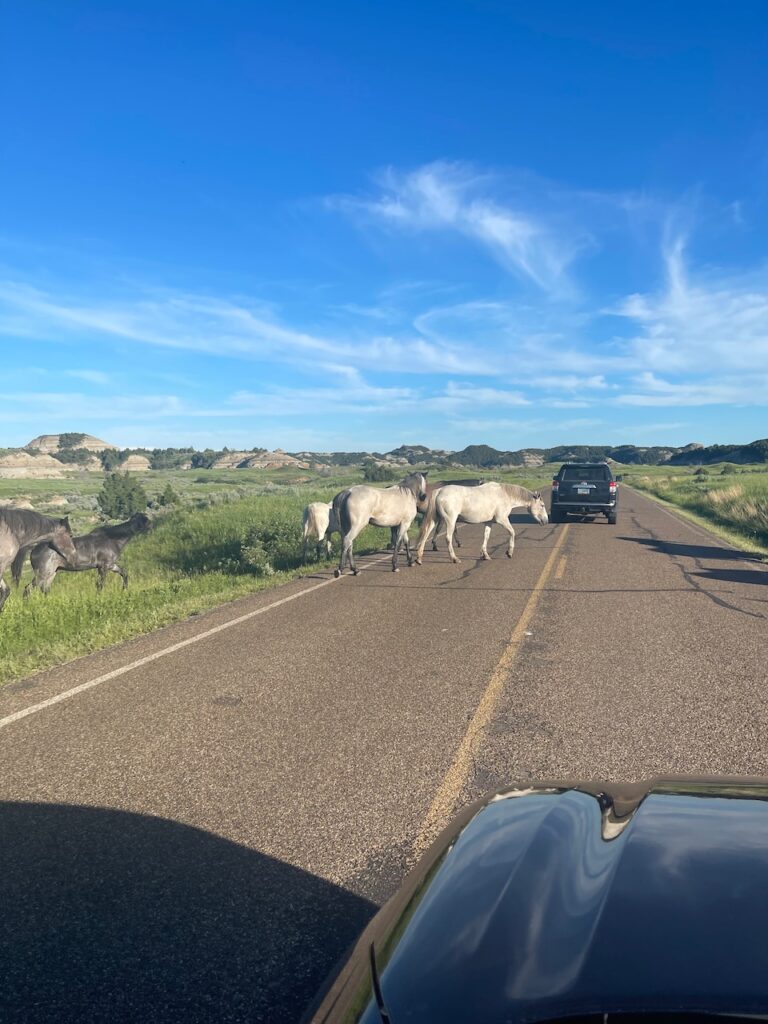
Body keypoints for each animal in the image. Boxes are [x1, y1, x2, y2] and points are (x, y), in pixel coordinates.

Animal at [13, 509, 151, 598]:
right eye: (146, 520)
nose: (151, 526)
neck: (112, 539)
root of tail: (35, 547)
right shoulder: (103, 566)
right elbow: (100, 584)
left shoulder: (111, 565)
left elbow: (124, 573)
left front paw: (125, 590)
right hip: (43, 573)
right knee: (28, 589)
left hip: (52, 572)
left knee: (44, 589)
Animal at [417, 481, 548, 569]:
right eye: (542, 505)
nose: (546, 521)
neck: (505, 495)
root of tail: (439, 491)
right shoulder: (502, 519)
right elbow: (512, 532)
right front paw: (509, 552)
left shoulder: (489, 522)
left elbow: (486, 537)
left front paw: (485, 555)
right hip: (450, 520)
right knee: (448, 538)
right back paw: (454, 558)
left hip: (435, 519)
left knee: (425, 535)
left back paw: (419, 559)